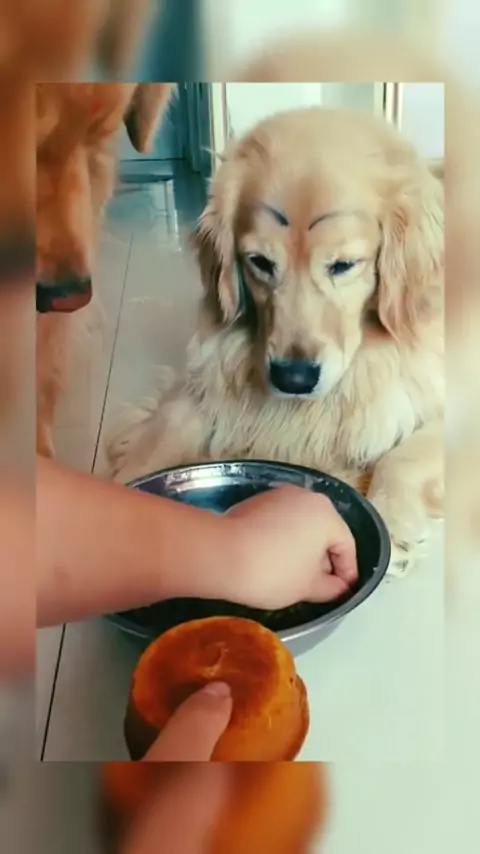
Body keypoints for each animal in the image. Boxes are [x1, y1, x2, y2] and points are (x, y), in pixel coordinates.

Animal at [107, 106, 444, 576]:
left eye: (344, 265)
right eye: (260, 263)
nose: (294, 378)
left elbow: (404, 456)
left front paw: (392, 520)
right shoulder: (198, 385)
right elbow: (161, 434)